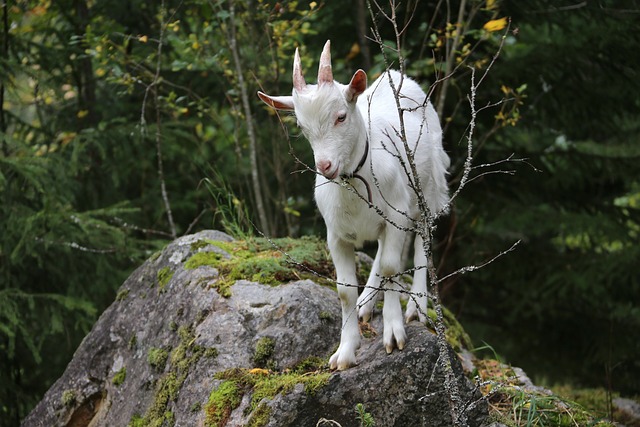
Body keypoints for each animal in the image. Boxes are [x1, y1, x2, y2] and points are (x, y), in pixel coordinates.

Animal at [256, 40, 450, 370]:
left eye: (341, 117)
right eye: (301, 126)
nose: (325, 166)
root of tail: (399, 78)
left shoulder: (396, 213)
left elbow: (390, 266)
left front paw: (394, 333)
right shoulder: (336, 235)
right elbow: (345, 290)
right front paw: (345, 351)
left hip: (427, 189)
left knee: (420, 240)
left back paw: (417, 305)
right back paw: (366, 302)